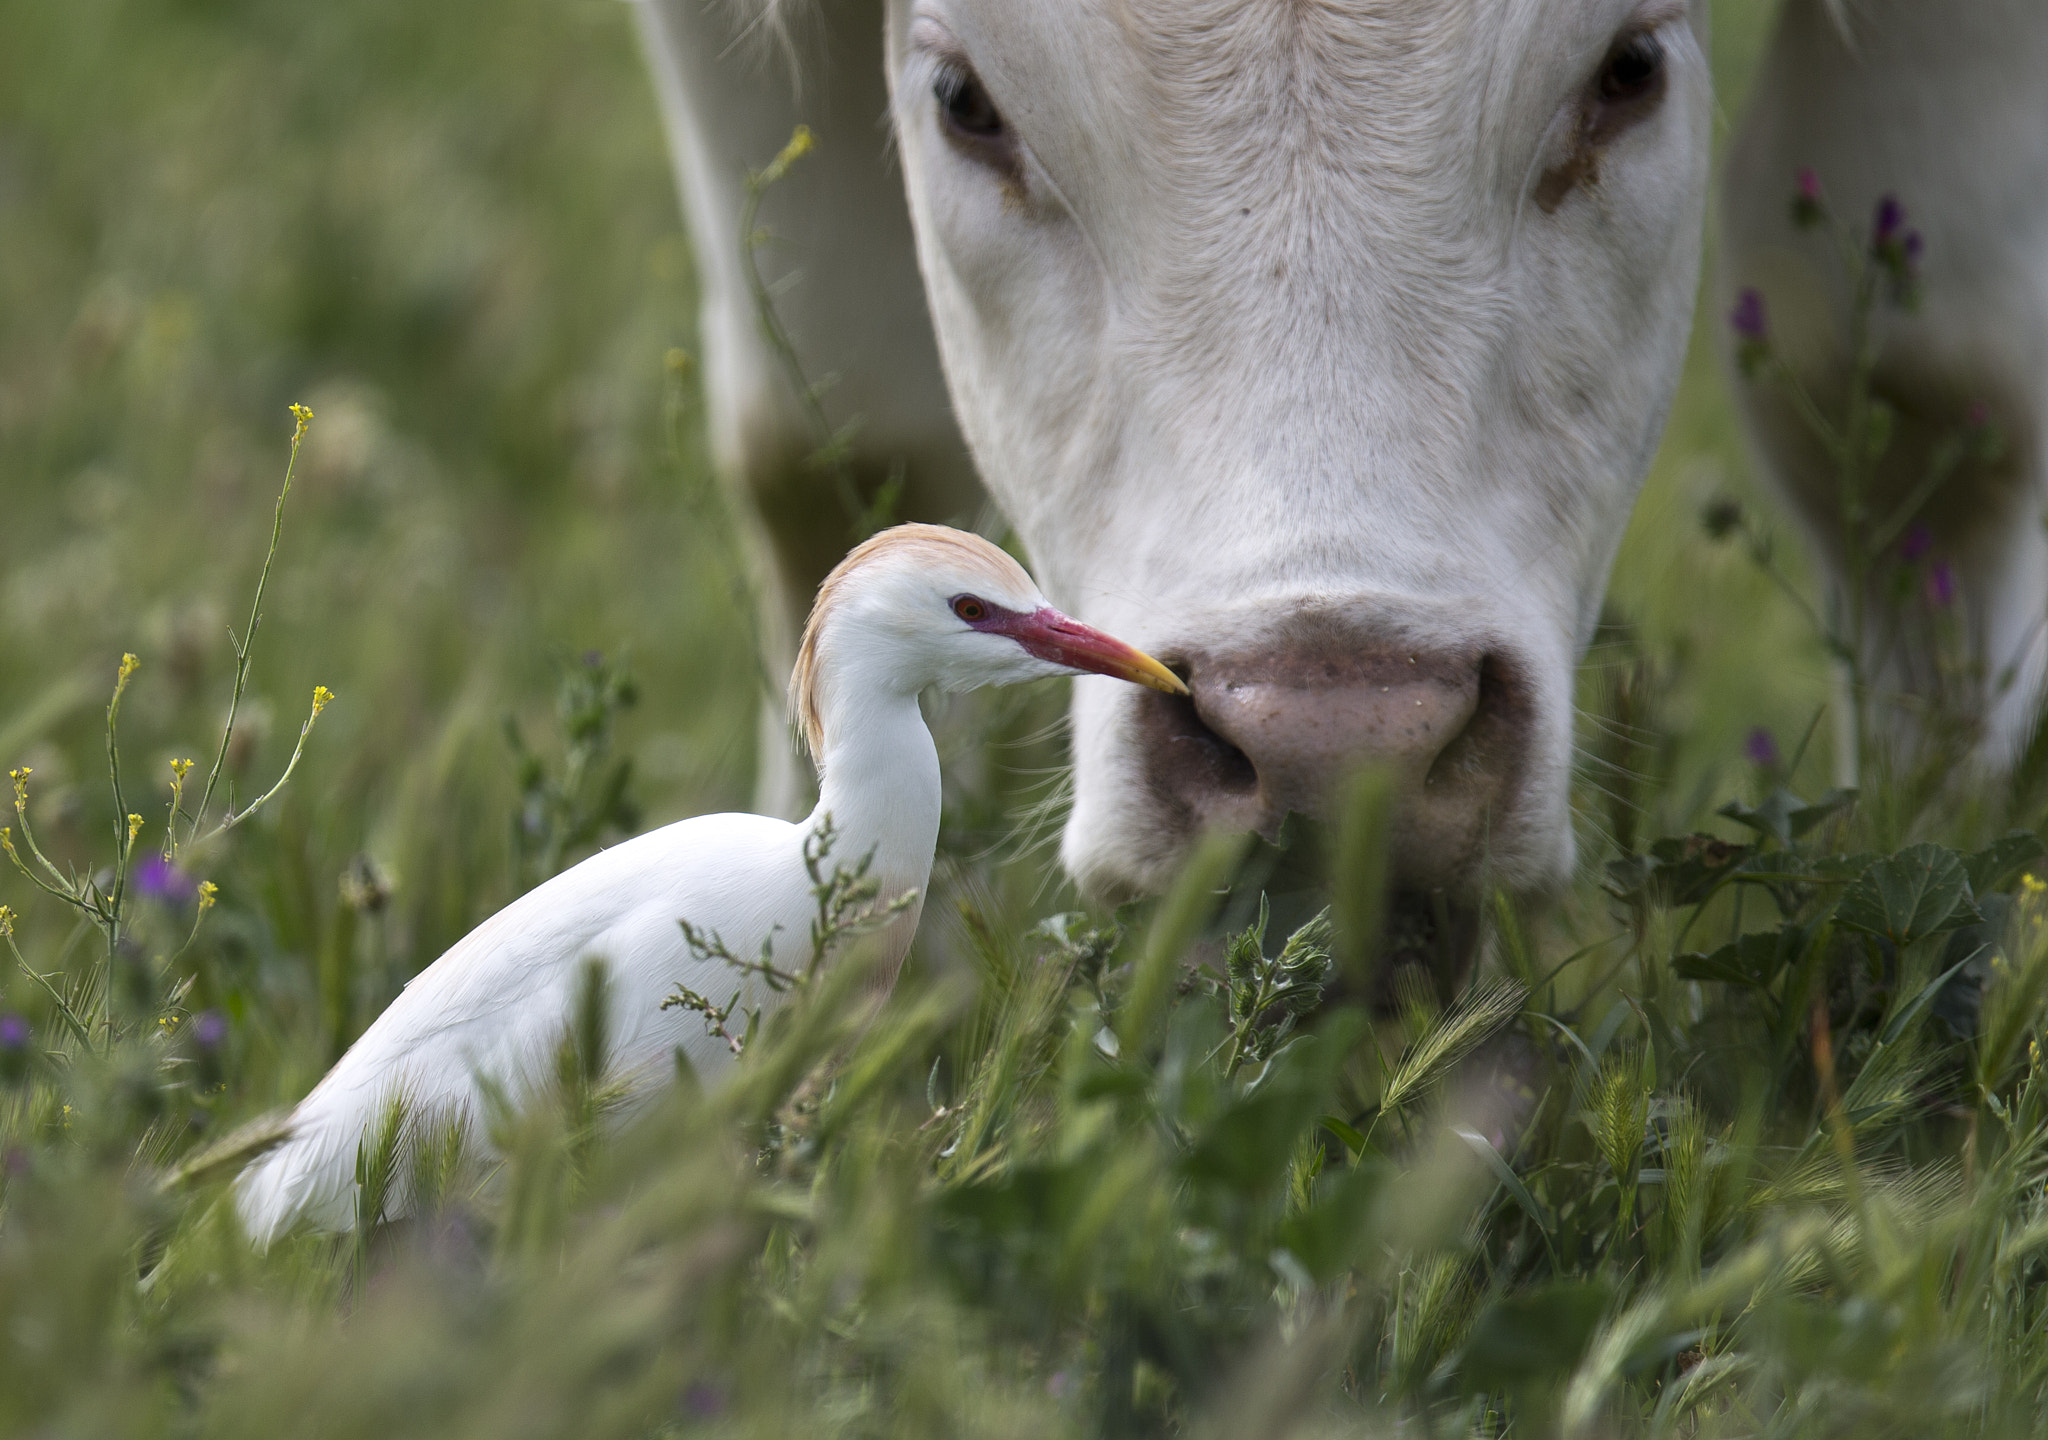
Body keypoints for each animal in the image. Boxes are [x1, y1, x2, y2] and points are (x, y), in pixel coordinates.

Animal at [630, 0, 2039, 966]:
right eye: (966, 101)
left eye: (1627, 70)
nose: (1336, 750)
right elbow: (833, 452)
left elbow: (1916, 385)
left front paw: (1929, 855)